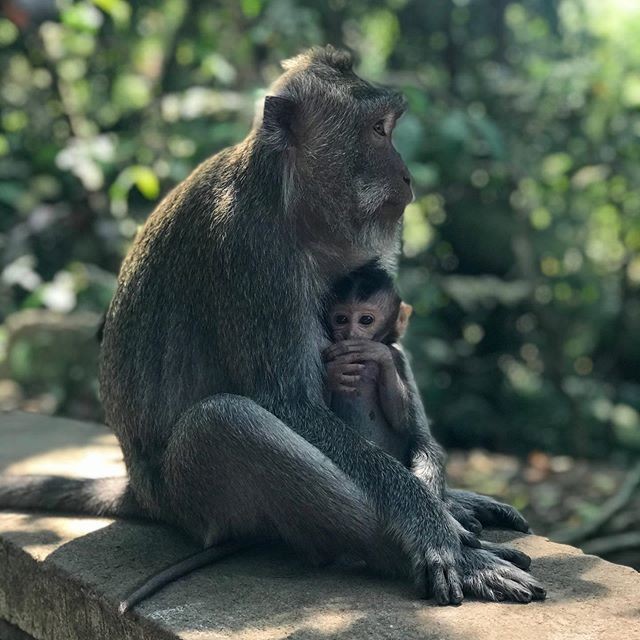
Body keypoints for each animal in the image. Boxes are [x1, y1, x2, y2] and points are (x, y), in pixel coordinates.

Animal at [324, 262, 416, 462]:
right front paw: (333, 372)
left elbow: (401, 420)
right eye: (341, 319)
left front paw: (379, 353)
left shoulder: (398, 357)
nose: (350, 333)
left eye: (366, 320)